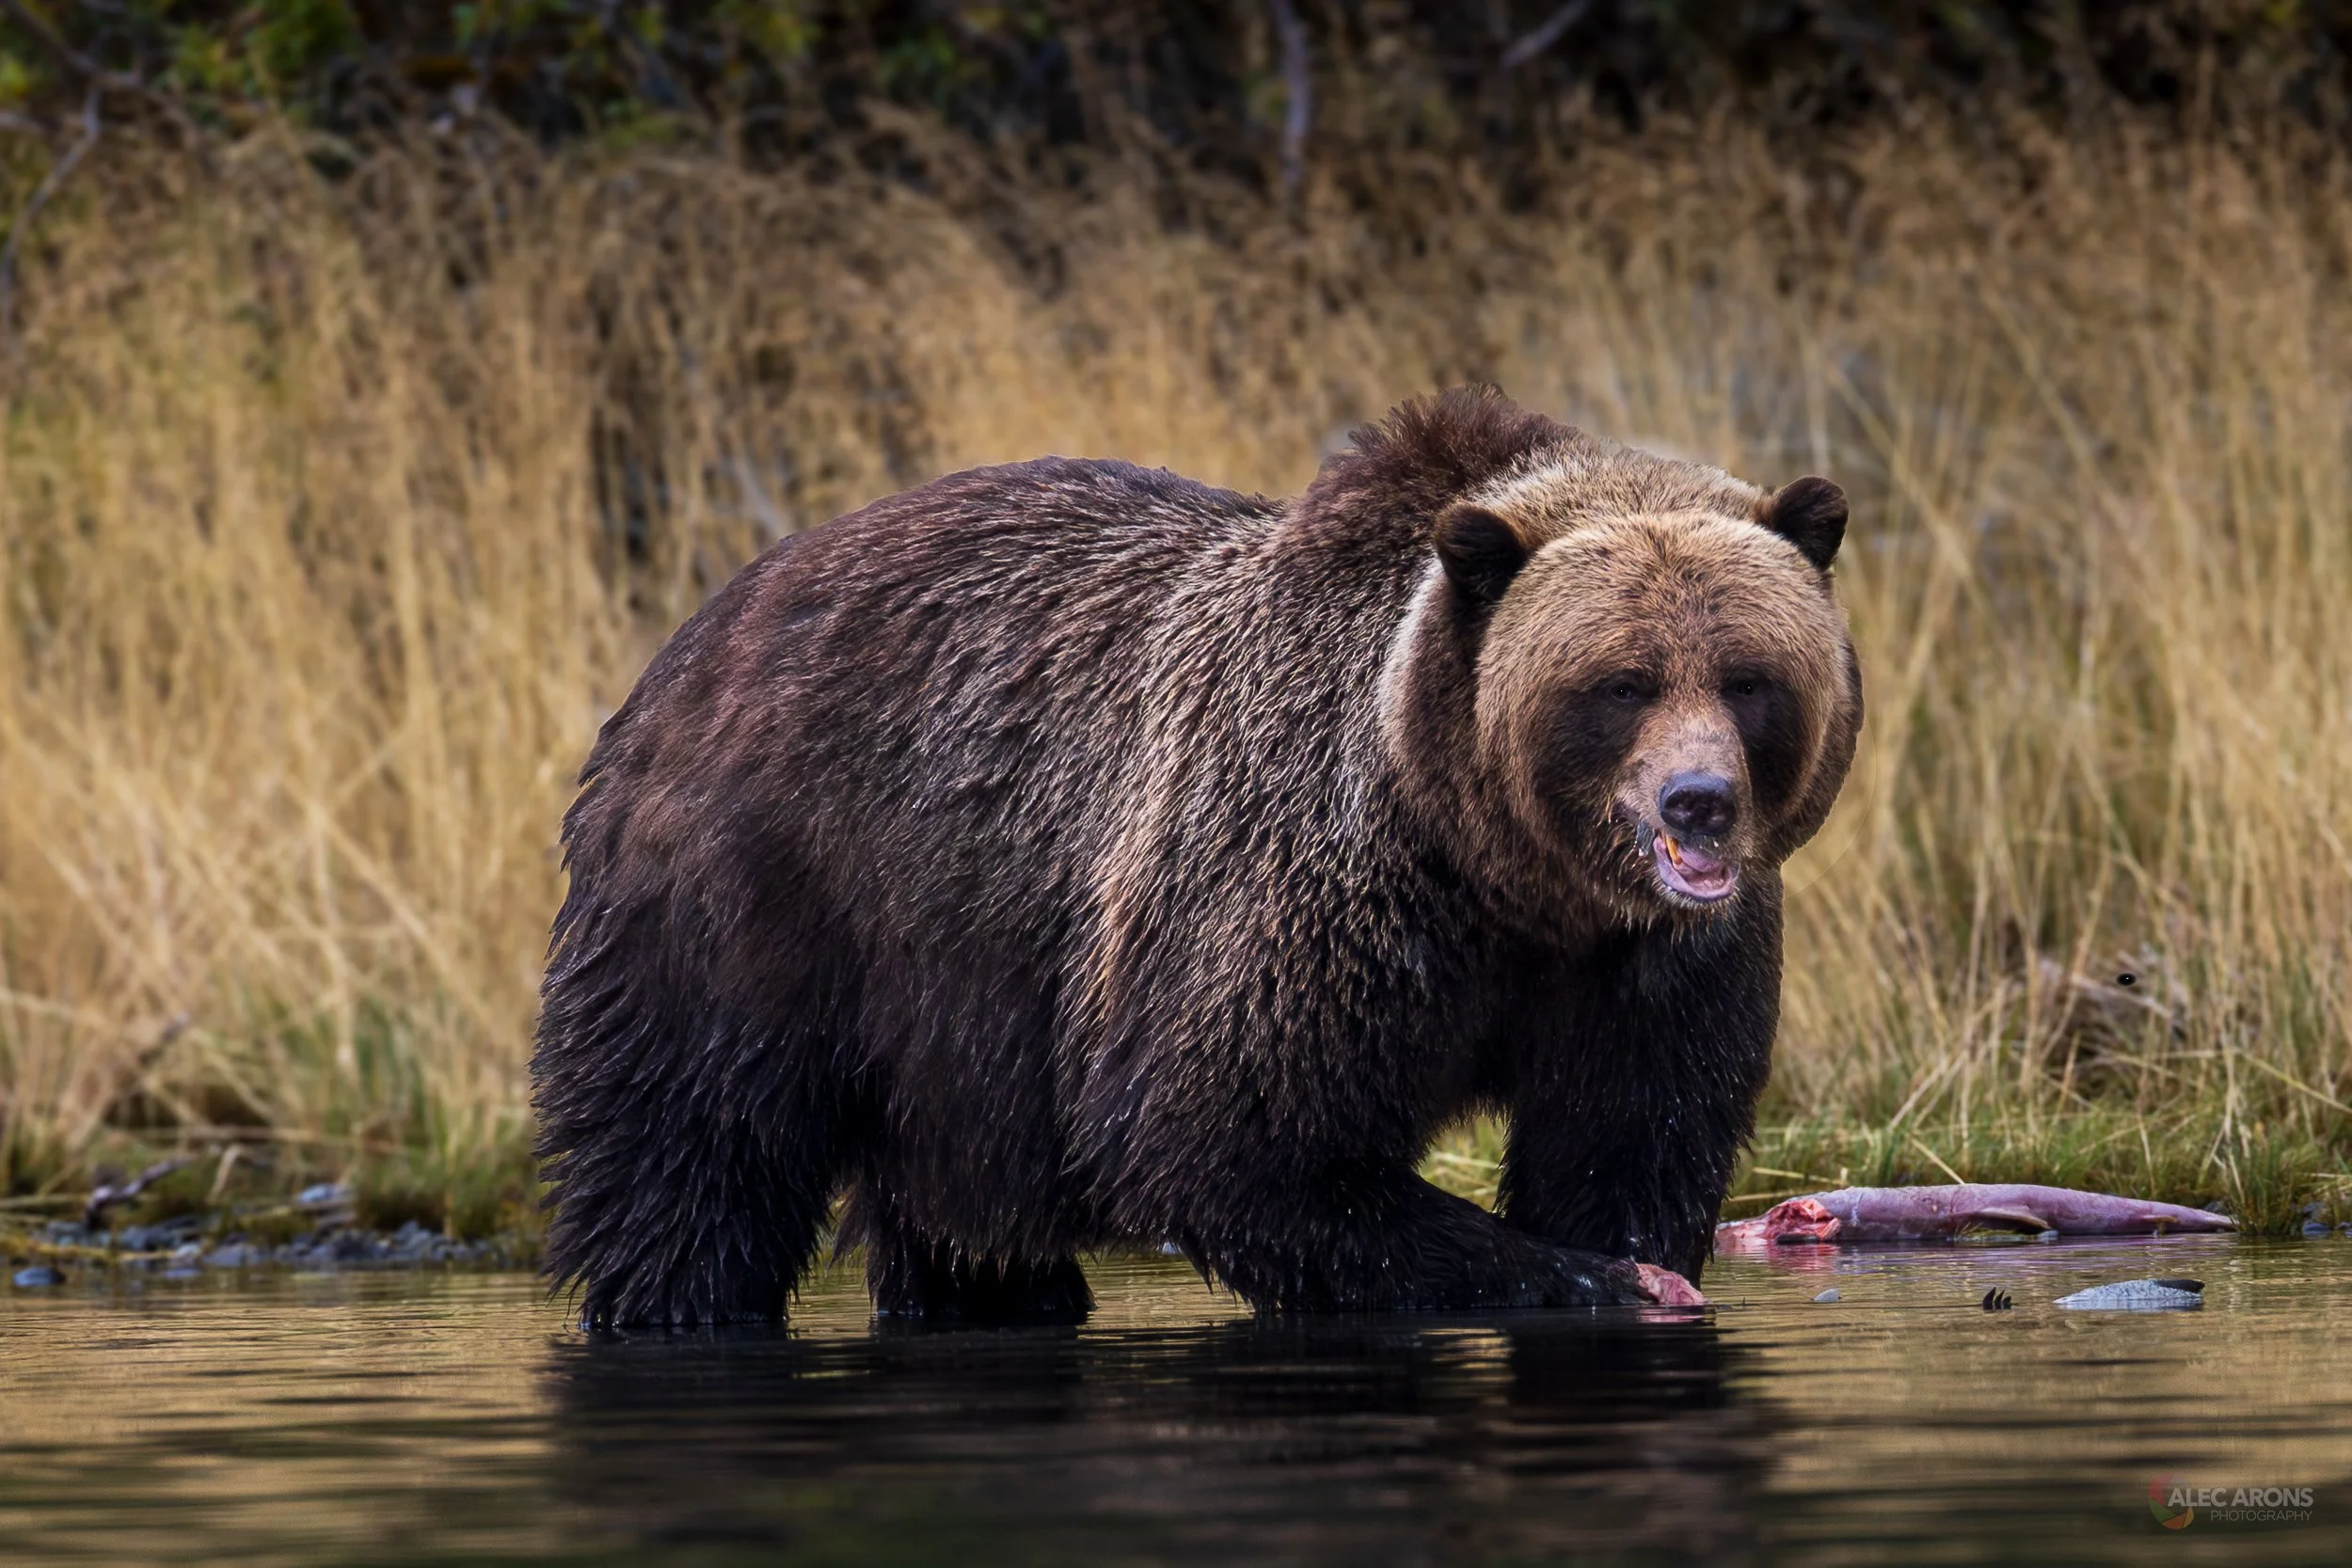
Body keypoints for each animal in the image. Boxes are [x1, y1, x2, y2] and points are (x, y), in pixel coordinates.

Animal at [532, 386, 1862, 1328]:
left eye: (1747, 675)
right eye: (1620, 681)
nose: (1698, 803)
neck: (1499, 872)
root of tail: (700, 629)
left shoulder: (1647, 965)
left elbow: (1629, 1139)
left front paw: (1625, 1253)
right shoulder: (1309, 889)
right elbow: (1229, 1137)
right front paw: (1583, 1274)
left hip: (953, 1015)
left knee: (955, 1214)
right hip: (764, 897)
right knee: (696, 1152)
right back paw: (671, 1303)